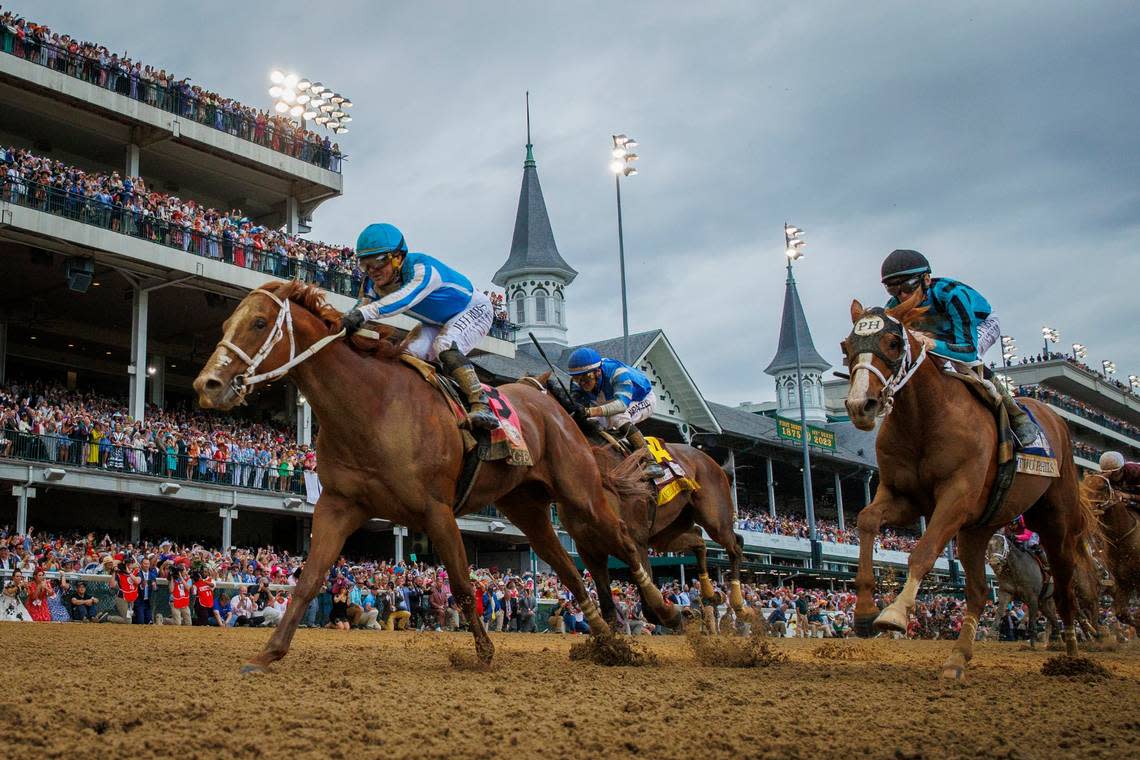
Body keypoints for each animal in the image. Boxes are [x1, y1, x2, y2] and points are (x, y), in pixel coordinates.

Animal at [193, 282, 674, 669]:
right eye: (227, 322)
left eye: (258, 323)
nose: (207, 385)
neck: (371, 405)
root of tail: (553, 400)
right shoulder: (339, 505)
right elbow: (308, 580)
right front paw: (268, 653)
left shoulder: (435, 510)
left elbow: (461, 581)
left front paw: (483, 654)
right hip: (528, 508)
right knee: (568, 570)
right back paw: (608, 641)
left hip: (580, 493)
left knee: (621, 540)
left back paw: (665, 609)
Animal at [843, 291, 1098, 679]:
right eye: (847, 346)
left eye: (892, 342)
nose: (861, 405)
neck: (924, 418)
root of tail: (1054, 416)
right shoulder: (903, 497)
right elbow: (867, 520)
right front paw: (864, 611)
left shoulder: (957, 497)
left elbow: (924, 550)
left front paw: (894, 614)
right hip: (977, 530)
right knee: (978, 591)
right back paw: (957, 658)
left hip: (1056, 519)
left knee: (1064, 584)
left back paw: (1071, 652)